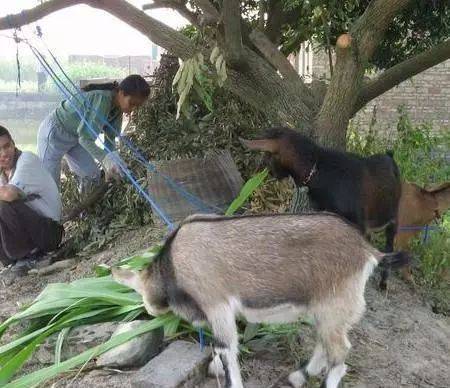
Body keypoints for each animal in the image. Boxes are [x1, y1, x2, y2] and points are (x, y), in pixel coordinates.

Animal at [111, 212, 408, 388]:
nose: (151, 310)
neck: (173, 263)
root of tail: (367, 251)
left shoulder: (217, 304)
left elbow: (224, 348)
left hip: (334, 305)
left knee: (340, 352)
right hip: (323, 309)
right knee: (325, 344)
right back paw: (298, 376)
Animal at [241, 128, 402, 288]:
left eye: (268, 155)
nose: (264, 172)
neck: (321, 170)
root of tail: (390, 156)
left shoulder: (358, 224)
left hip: (393, 217)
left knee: (389, 245)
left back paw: (383, 282)